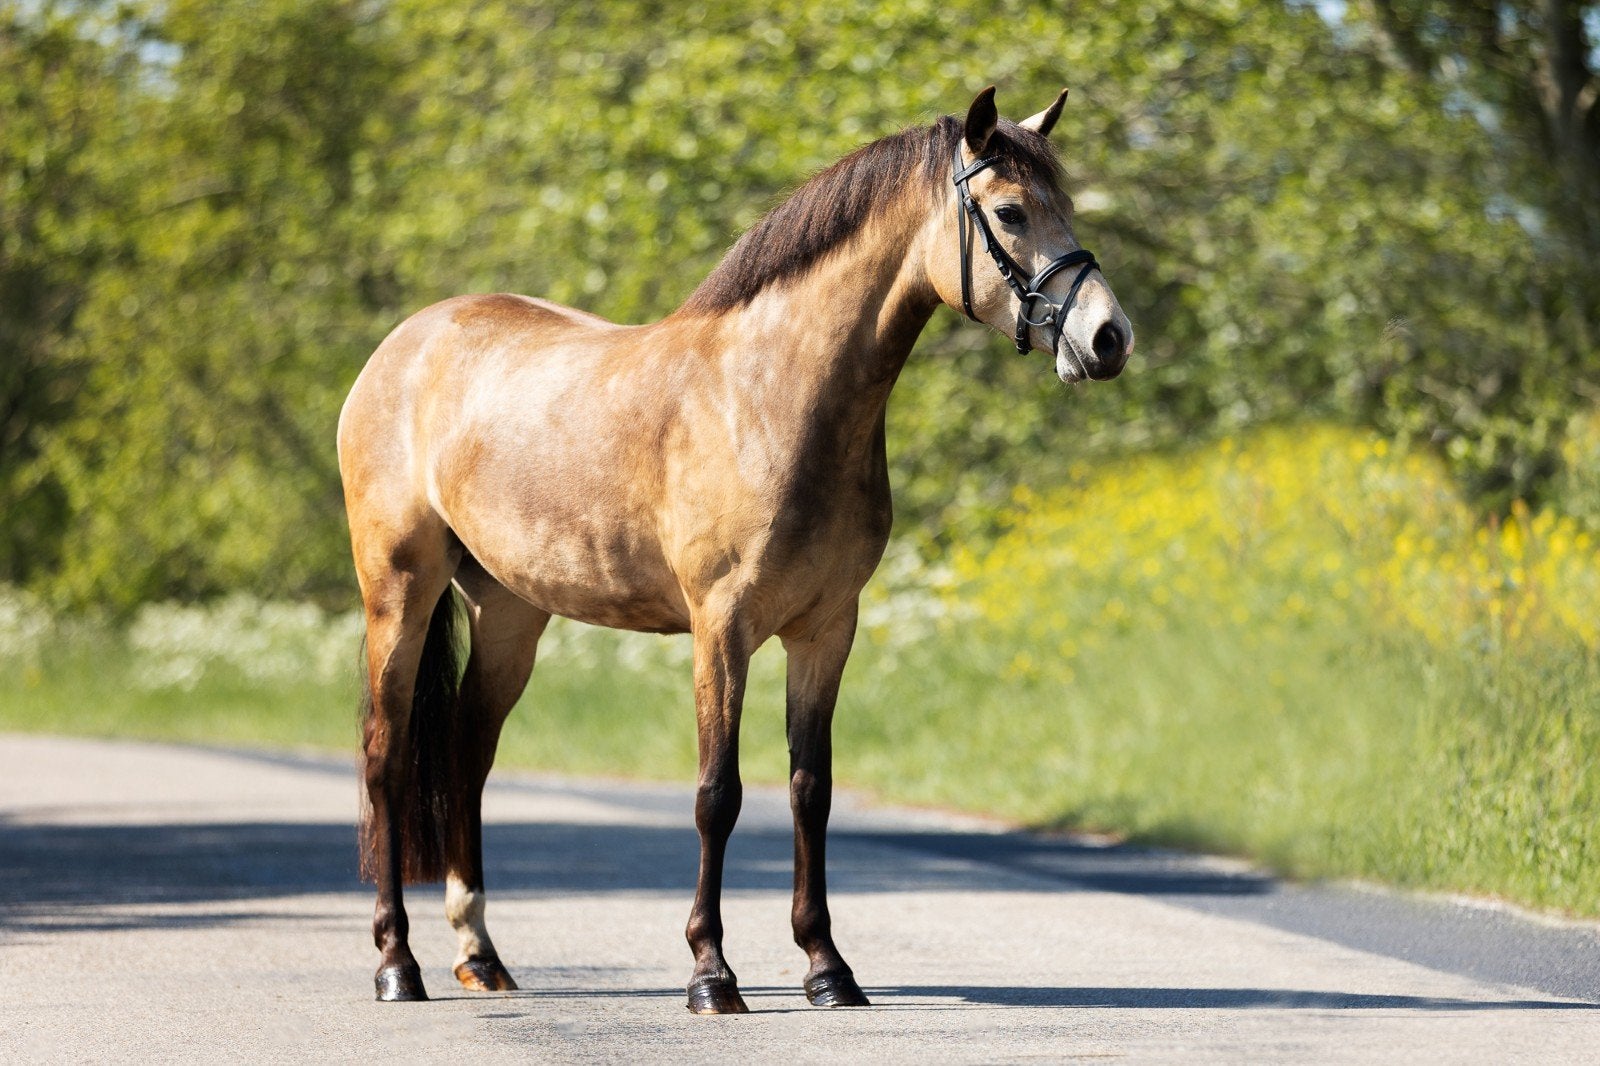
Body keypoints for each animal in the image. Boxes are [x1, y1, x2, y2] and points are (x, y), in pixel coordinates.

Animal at [337, 85, 1134, 1014]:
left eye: (1065, 205)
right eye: (1010, 211)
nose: (1109, 337)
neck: (770, 395)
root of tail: (405, 344)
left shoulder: (826, 630)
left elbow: (809, 790)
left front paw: (828, 968)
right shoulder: (721, 629)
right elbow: (718, 793)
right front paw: (711, 973)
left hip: (507, 612)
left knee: (467, 750)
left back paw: (481, 955)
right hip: (400, 591)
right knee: (386, 754)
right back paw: (398, 964)